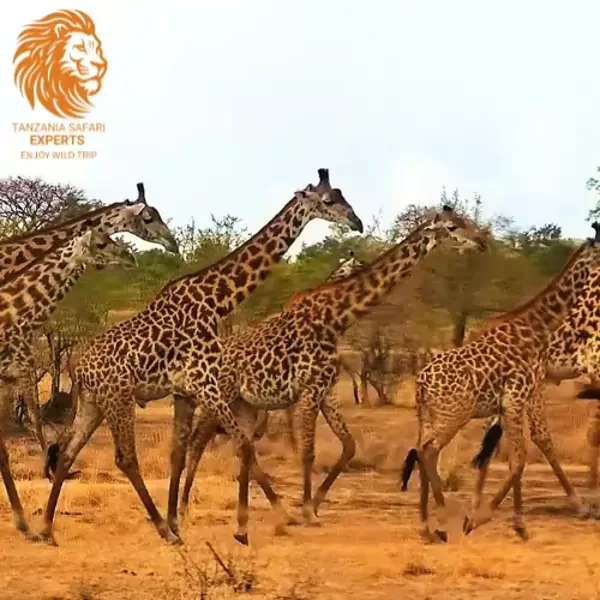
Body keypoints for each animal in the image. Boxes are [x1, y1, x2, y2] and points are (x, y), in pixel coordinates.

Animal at [41, 168, 360, 544]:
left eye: (342, 194)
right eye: (328, 200)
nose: (357, 223)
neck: (215, 300)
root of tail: (79, 369)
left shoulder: (186, 392)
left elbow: (179, 455)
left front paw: (179, 518)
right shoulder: (205, 384)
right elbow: (242, 446)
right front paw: (256, 523)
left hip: (94, 402)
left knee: (67, 454)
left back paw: (46, 529)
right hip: (118, 398)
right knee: (125, 458)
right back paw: (163, 531)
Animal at [179, 206, 488, 528]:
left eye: (466, 221)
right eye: (453, 227)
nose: (481, 242)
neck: (336, 318)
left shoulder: (326, 391)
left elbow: (349, 445)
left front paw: (313, 505)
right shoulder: (309, 390)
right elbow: (308, 452)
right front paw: (307, 511)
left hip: (245, 404)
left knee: (242, 445)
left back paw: (275, 509)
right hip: (223, 395)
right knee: (199, 441)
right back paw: (186, 508)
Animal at [398, 230, 600, 544]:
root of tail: (420, 382)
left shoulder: (514, 399)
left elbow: (514, 453)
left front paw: (511, 522)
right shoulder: (522, 394)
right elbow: (526, 451)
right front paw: (483, 518)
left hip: (433, 417)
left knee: (422, 450)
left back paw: (428, 527)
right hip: (453, 416)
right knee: (429, 452)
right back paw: (445, 519)